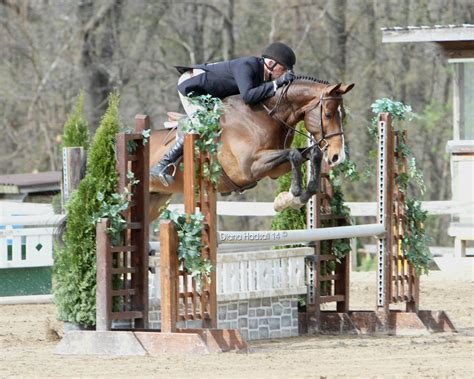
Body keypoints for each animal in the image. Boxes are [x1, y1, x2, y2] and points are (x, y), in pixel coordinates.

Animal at [147, 76, 352, 223]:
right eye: (328, 114)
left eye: (342, 115)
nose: (337, 156)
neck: (265, 116)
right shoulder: (249, 167)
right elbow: (293, 154)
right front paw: (292, 195)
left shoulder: (275, 169)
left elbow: (312, 153)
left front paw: (294, 198)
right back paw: (161, 170)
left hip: (155, 200)